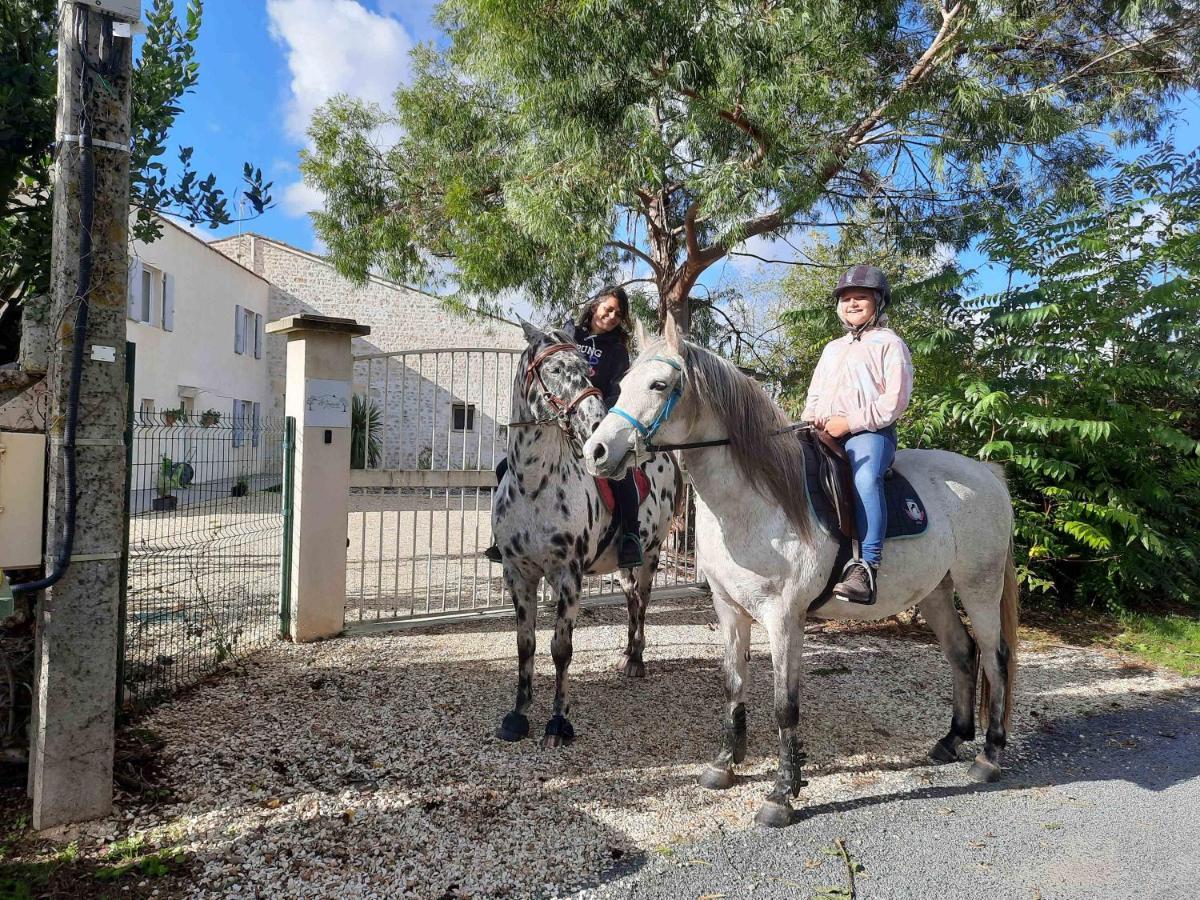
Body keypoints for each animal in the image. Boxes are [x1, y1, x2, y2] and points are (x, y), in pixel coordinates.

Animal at [489, 321, 681, 748]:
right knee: (630, 601)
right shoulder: (518, 573)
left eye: (586, 370)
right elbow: (525, 645)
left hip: (652, 554)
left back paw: (637, 661)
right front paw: (518, 714)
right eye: (556, 369)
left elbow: (561, 649)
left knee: (643, 602)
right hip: (625, 565)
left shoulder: (568, 576)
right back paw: (626, 654)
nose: (596, 424)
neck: (535, 486)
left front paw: (558, 722)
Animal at [585, 319, 1017, 830]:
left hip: (979, 587)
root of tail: (988, 474)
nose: (596, 451)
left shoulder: (784, 618)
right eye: (622, 384)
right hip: (935, 592)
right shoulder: (729, 610)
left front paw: (781, 794)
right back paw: (951, 741)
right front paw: (724, 766)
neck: (756, 502)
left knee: (995, 657)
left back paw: (989, 755)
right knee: (961, 653)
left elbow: (784, 706)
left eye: (658, 385)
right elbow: (733, 685)